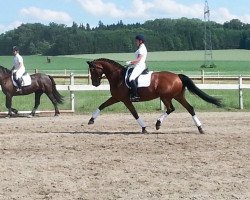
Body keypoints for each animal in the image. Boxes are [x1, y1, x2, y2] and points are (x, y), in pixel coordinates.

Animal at [87, 57, 222, 134]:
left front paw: (144, 128)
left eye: (92, 70)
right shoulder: (117, 98)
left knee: (171, 109)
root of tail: (178, 76)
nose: (95, 83)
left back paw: (158, 123)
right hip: (177, 96)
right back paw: (200, 128)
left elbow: (134, 113)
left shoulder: (123, 99)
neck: (118, 77)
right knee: (189, 108)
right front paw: (91, 120)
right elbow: (102, 106)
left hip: (165, 97)